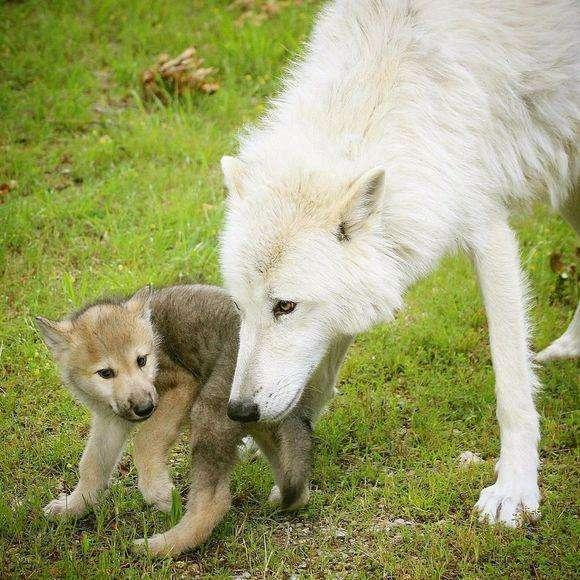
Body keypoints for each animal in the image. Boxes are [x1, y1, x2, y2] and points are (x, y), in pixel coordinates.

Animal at [219, 0, 580, 524]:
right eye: (241, 309)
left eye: (285, 306)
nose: (240, 411)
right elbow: (320, 369)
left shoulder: (488, 230)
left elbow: (512, 385)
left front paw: (515, 488)